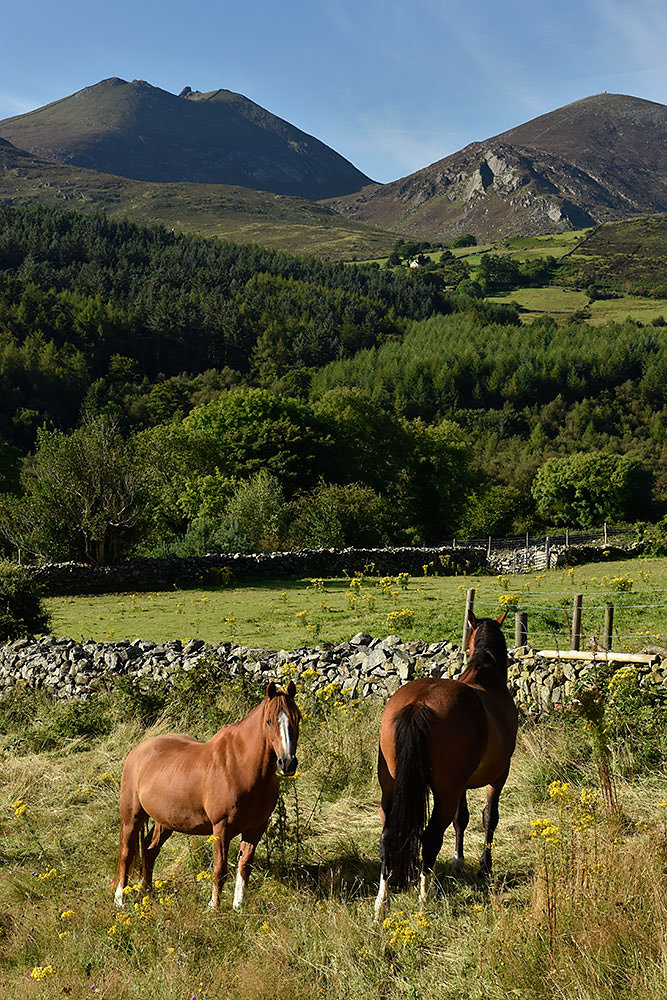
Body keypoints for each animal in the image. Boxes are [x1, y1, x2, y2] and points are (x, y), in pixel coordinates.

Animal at [114, 684, 300, 912]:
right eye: (269, 721)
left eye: (297, 717)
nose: (287, 763)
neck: (240, 767)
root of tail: (139, 750)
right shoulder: (221, 828)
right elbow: (220, 870)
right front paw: (214, 907)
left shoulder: (256, 828)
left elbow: (245, 866)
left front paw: (239, 906)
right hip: (132, 816)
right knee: (126, 853)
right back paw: (120, 899)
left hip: (165, 821)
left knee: (149, 850)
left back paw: (147, 893)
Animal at [374, 604, 520, 916]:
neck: (485, 674)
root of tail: (417, 704)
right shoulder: (499, 776)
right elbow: (489, 817)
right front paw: (484, 867)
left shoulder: (461, 785)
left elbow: (461, 819)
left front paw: (458, 861)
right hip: (445, 792)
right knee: (430, 838)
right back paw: (424, 899)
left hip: (391, 788)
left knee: (387, 836)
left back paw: (382, 902)